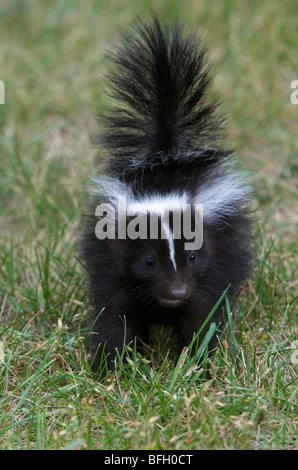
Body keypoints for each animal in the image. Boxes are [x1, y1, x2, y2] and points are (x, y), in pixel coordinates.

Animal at [80, 17, 253, 378]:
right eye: (148, 261)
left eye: (193, 256)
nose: (177, 291)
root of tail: (166, 156)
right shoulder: (113, 264)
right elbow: (115, 316)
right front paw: (109, 368)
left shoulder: (211, 265)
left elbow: (201, 316)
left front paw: (200, 366)